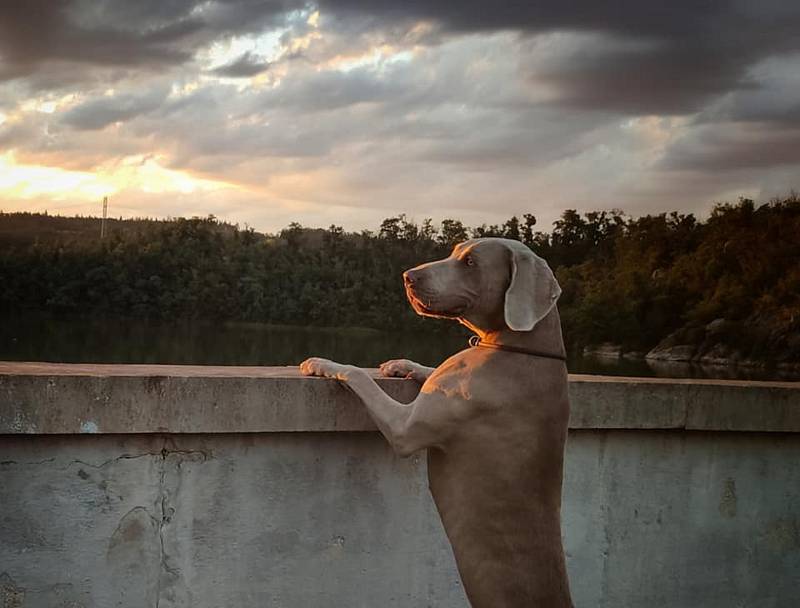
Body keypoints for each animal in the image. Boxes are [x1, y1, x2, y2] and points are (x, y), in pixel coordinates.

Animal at [302, 238, 576, 608]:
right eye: (454, 250)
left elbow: (358, 374)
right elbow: (429, 371)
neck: (518, 348)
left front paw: (321, 362)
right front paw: (402, 364)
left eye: (471, 262)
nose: (408, 276)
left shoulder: (404, 428)